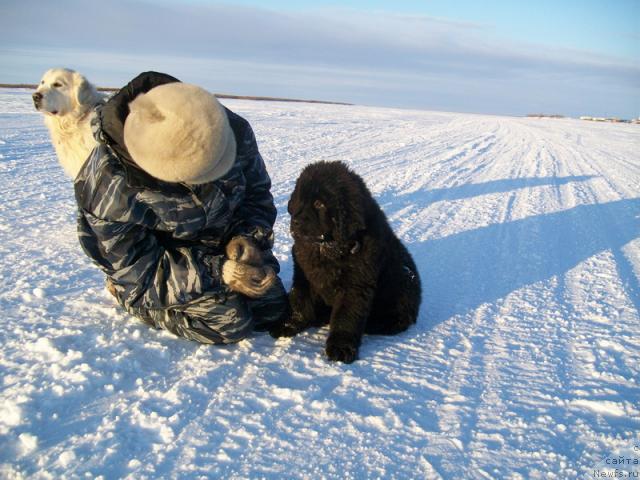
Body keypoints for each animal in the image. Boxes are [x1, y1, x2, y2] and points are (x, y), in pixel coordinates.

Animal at [268, 161, 420, 364]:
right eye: (299, 200)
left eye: (319, 204)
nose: (295, 222)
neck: (328, 247)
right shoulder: (303, 274)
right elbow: (298, 299)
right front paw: (289, 324)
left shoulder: (355, 285)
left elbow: (346, 317)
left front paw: (340, 348)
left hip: (404, 283)